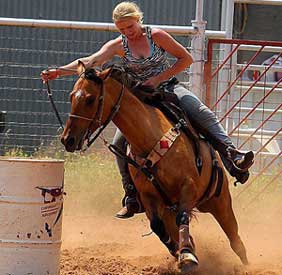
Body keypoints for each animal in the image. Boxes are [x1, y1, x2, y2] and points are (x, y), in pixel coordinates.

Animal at [60, 62, 248, 274]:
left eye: (90, 99)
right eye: (71, 96)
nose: (68, 139)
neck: (150, 138)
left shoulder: (188, 187)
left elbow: (183, 217)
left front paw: (187, 256)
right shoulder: (149, 196)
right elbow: (158, 226)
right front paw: (180, 250)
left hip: (219, 201)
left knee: (235, 240)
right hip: (172, 208)